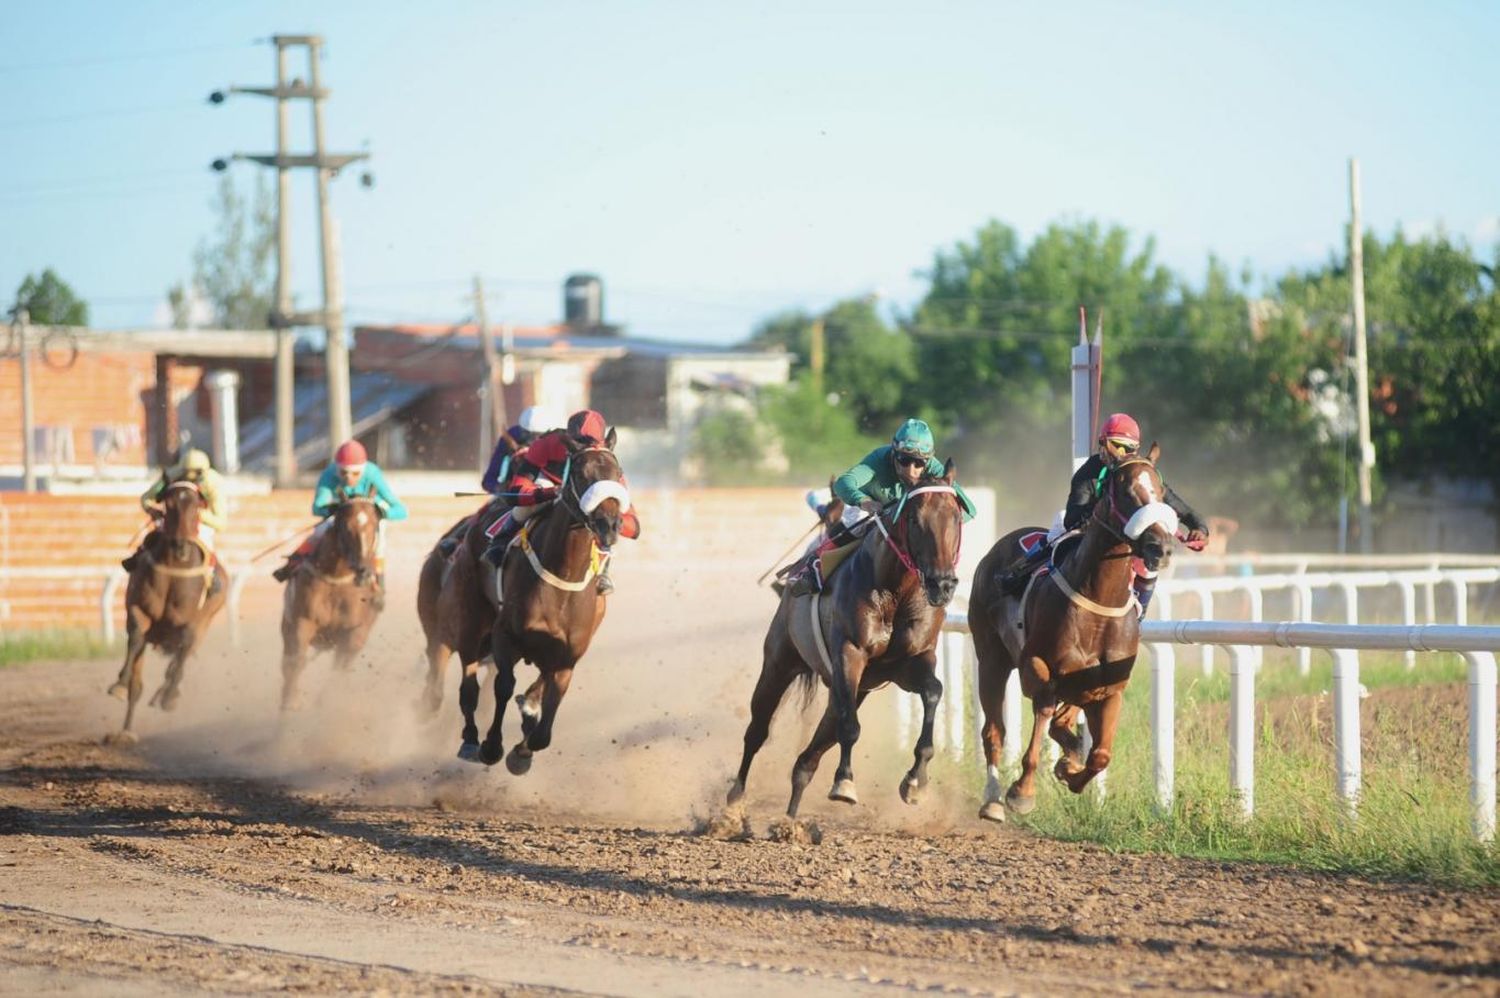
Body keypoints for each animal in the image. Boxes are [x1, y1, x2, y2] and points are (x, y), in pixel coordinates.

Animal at [105, 480, 228, 744]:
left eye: (197, 505)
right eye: (168, 504)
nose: (180, 545)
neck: (174, 570)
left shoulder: (193, 624)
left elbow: (181, 655)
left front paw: (170, 696)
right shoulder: (138, 611)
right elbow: (136, 641)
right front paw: (120, 685)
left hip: (204, 625)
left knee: (178, 661)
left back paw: (167, 694)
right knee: (140, 685)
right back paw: (126, 731)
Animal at [279, 495, 381, 705]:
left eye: (374, 526)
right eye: (346, 527)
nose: (363, 571)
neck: (337, 581)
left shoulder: (353, 631)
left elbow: (340, 668)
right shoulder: (302, 620)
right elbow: (296, 661)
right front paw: (291, 701)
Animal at [453, 429, 624, 768]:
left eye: (618, 473)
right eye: (581, 475)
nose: (610, 526)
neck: (563, 579)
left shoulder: (567, 657)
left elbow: (545, 724)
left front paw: (522, 750)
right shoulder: (505, 635)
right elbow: (503, 686)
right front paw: (492, 746)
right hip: (472, 618)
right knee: (469, 685)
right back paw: (470, 740)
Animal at [726, 462, 960, 822]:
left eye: (956, 517)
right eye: (914, 519)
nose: (942, 584)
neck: (896, 592)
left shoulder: (910, 662)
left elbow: (933, 691)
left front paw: (916, 782)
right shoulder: (850, 654)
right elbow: (850, 727)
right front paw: (844, 783)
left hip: (852, 688)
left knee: (809, 755)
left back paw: (791, 816)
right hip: (780, 661)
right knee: (758, 731)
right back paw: (734, 802)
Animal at [972, 447, 1182, 822]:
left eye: (1160, 492)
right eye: (1126, 491)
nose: (1162, 547)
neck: (1099, 601)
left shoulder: (1111, 686)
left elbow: (1100, 754)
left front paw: (1070, 772)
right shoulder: (1036, 665)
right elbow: (1042, 713)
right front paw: (1022, 791)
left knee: (1063, 722)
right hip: (991, 658)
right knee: (994, 731)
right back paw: (994, 799)